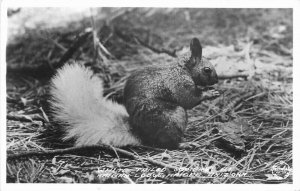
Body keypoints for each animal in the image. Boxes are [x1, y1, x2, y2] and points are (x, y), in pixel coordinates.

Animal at [48, 37, 218, 149]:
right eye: (207, 70)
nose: (217, 80)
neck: (183, 70)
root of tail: (139, 132)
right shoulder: (180, 84)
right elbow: (189, 100)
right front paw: (209, 94)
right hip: (173, 117)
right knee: (168, 143)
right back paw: (186, 143)